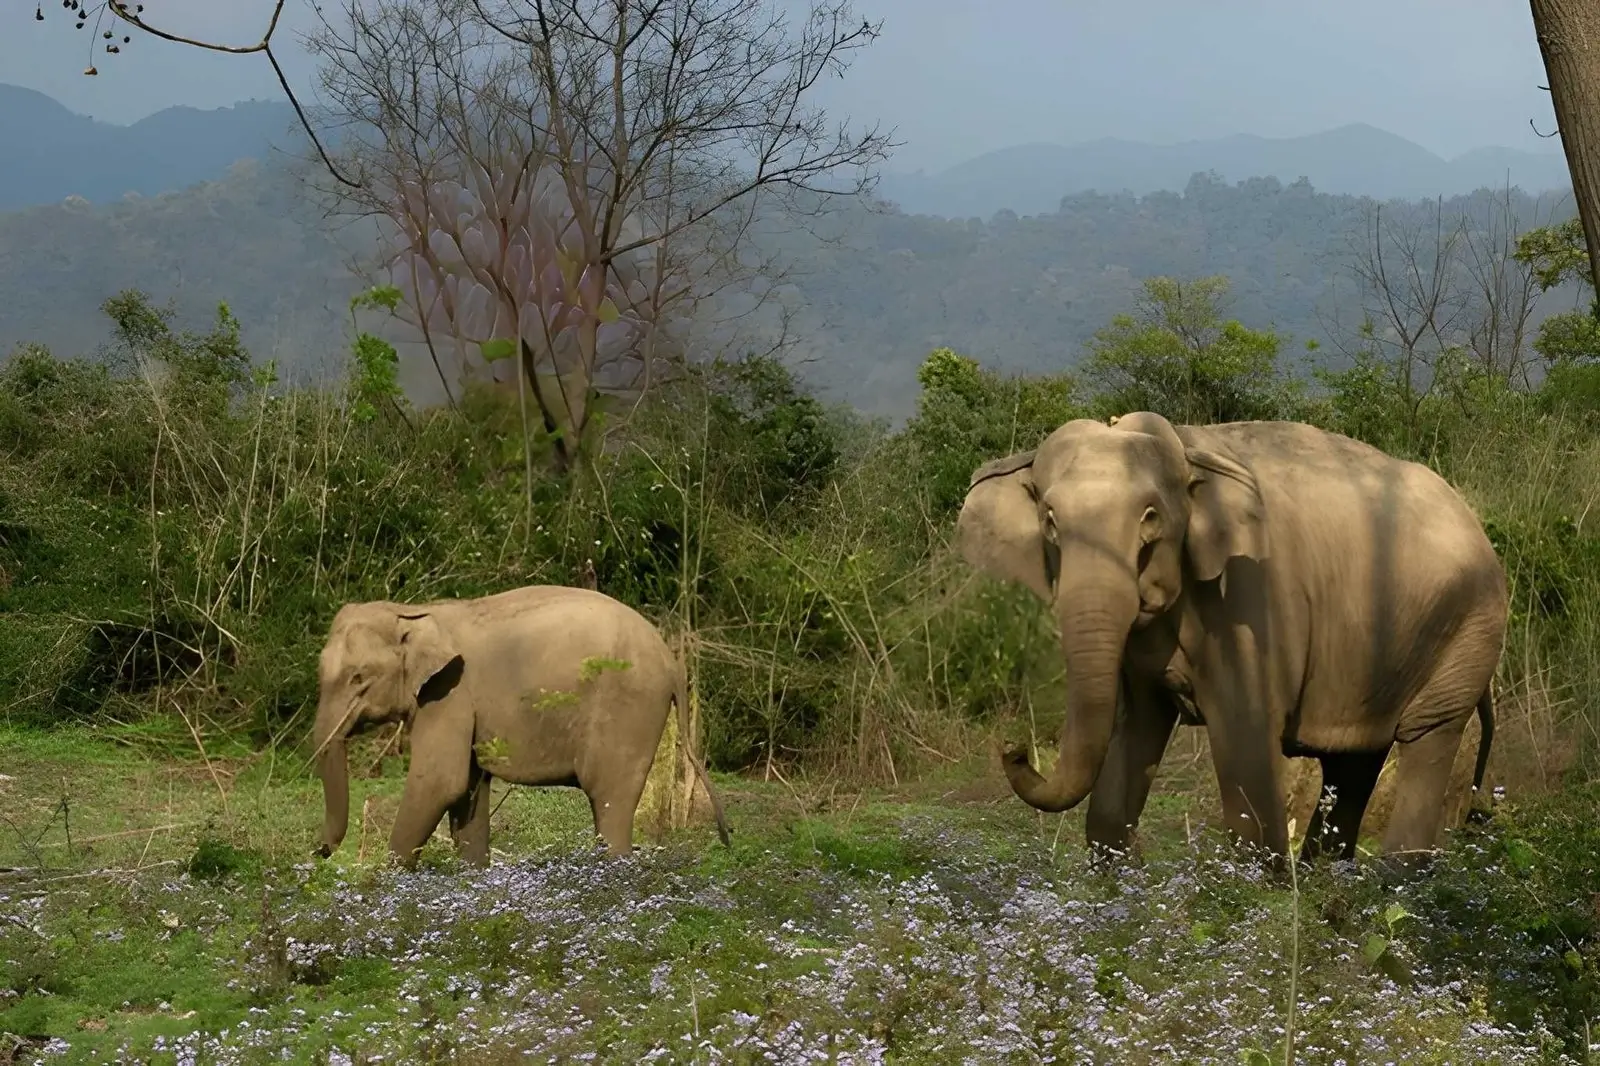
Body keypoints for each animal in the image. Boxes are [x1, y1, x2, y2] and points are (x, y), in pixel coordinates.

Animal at [311, 584, 732, 868]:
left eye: (358, 677)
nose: (320, 851)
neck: (413, 612)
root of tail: (672, 663)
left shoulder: (451, 693)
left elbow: (439, 781)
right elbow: (466, 789)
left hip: (630, 708)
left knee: (610, 800)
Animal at [956, 412, 1507, 871]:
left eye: (1150, 519)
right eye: (1049, 521)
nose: (1013, 749)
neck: (1188, 448)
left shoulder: (1251, 602)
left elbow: (1246, 743)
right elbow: (1135, 729)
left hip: (1468, 630)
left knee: (1426, 735)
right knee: (1353, 762)